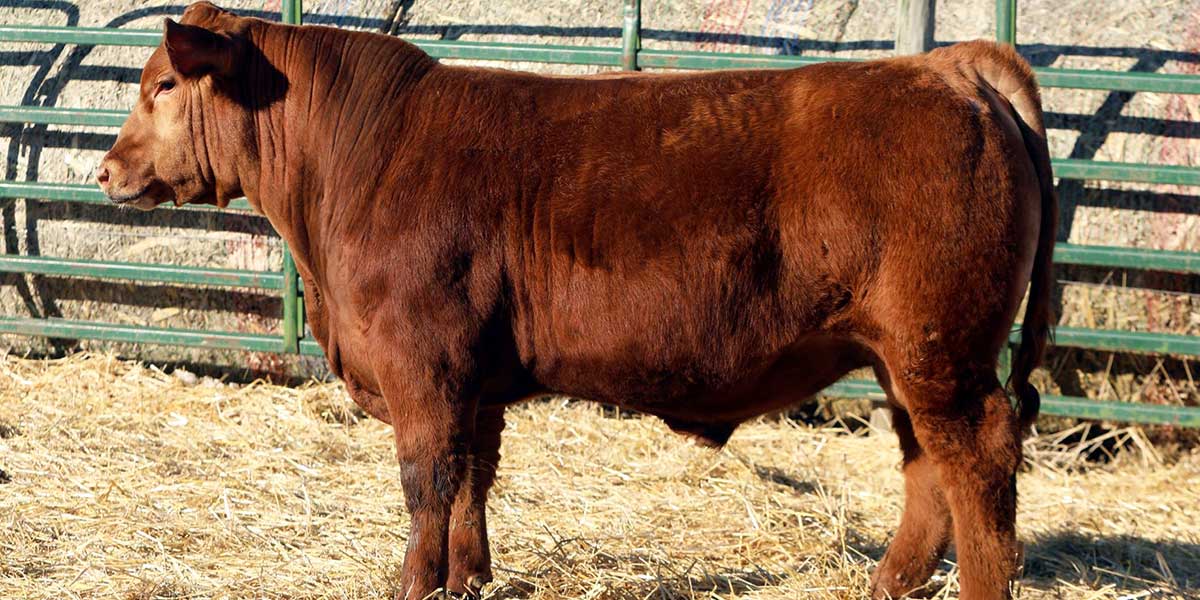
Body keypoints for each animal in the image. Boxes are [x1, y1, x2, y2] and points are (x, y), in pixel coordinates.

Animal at [96, 3, 1056, 599]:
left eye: (163, 86)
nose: (104, 169)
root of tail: (948, 65)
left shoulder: (423, 367)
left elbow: (426, 483)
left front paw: (412, 584)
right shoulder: (473, 378)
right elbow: (471, 483)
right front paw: (469, 580)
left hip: (941, 351)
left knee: (977, 463)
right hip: (909, 356)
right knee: (925, 468)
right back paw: (886, 583)